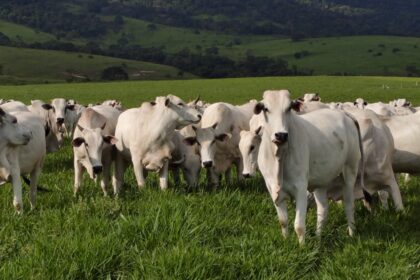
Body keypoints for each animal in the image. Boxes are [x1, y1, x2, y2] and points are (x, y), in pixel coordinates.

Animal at [254, 91, 362, 244]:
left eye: (289, 108)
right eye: (266, 109)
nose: (281, 135)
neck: (279, 158)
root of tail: (345, 114)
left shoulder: (300, 187)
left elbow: (299, 225)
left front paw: (302, 246)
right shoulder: (272, 188)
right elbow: (283, 221)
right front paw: (286, 240)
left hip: (350, 171)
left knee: (349, 205)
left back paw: (352, 233)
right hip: (321, 180)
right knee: (323, 209)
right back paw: (318, 237)